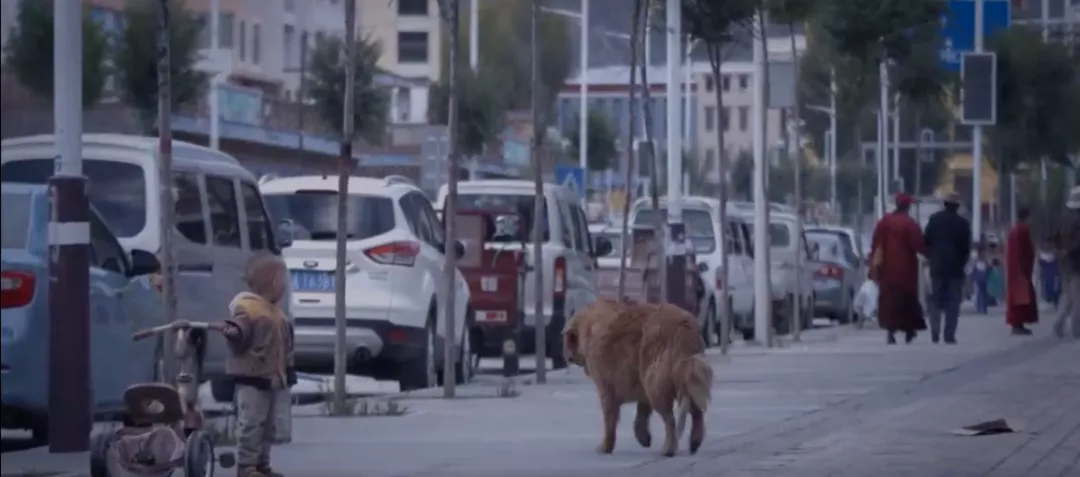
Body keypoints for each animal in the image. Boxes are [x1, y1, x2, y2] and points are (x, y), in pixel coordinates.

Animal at [561, 297, 712, 457]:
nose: (569, 357)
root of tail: (685, 327)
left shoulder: (606, 387)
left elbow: (610, 418)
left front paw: (605, 446)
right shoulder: (639, 380)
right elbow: (642, 411)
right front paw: (643, 437)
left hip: (656, 380)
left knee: (670, 419)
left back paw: (668, 448)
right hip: (681, 374)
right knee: (696, 411)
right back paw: (694, 441)